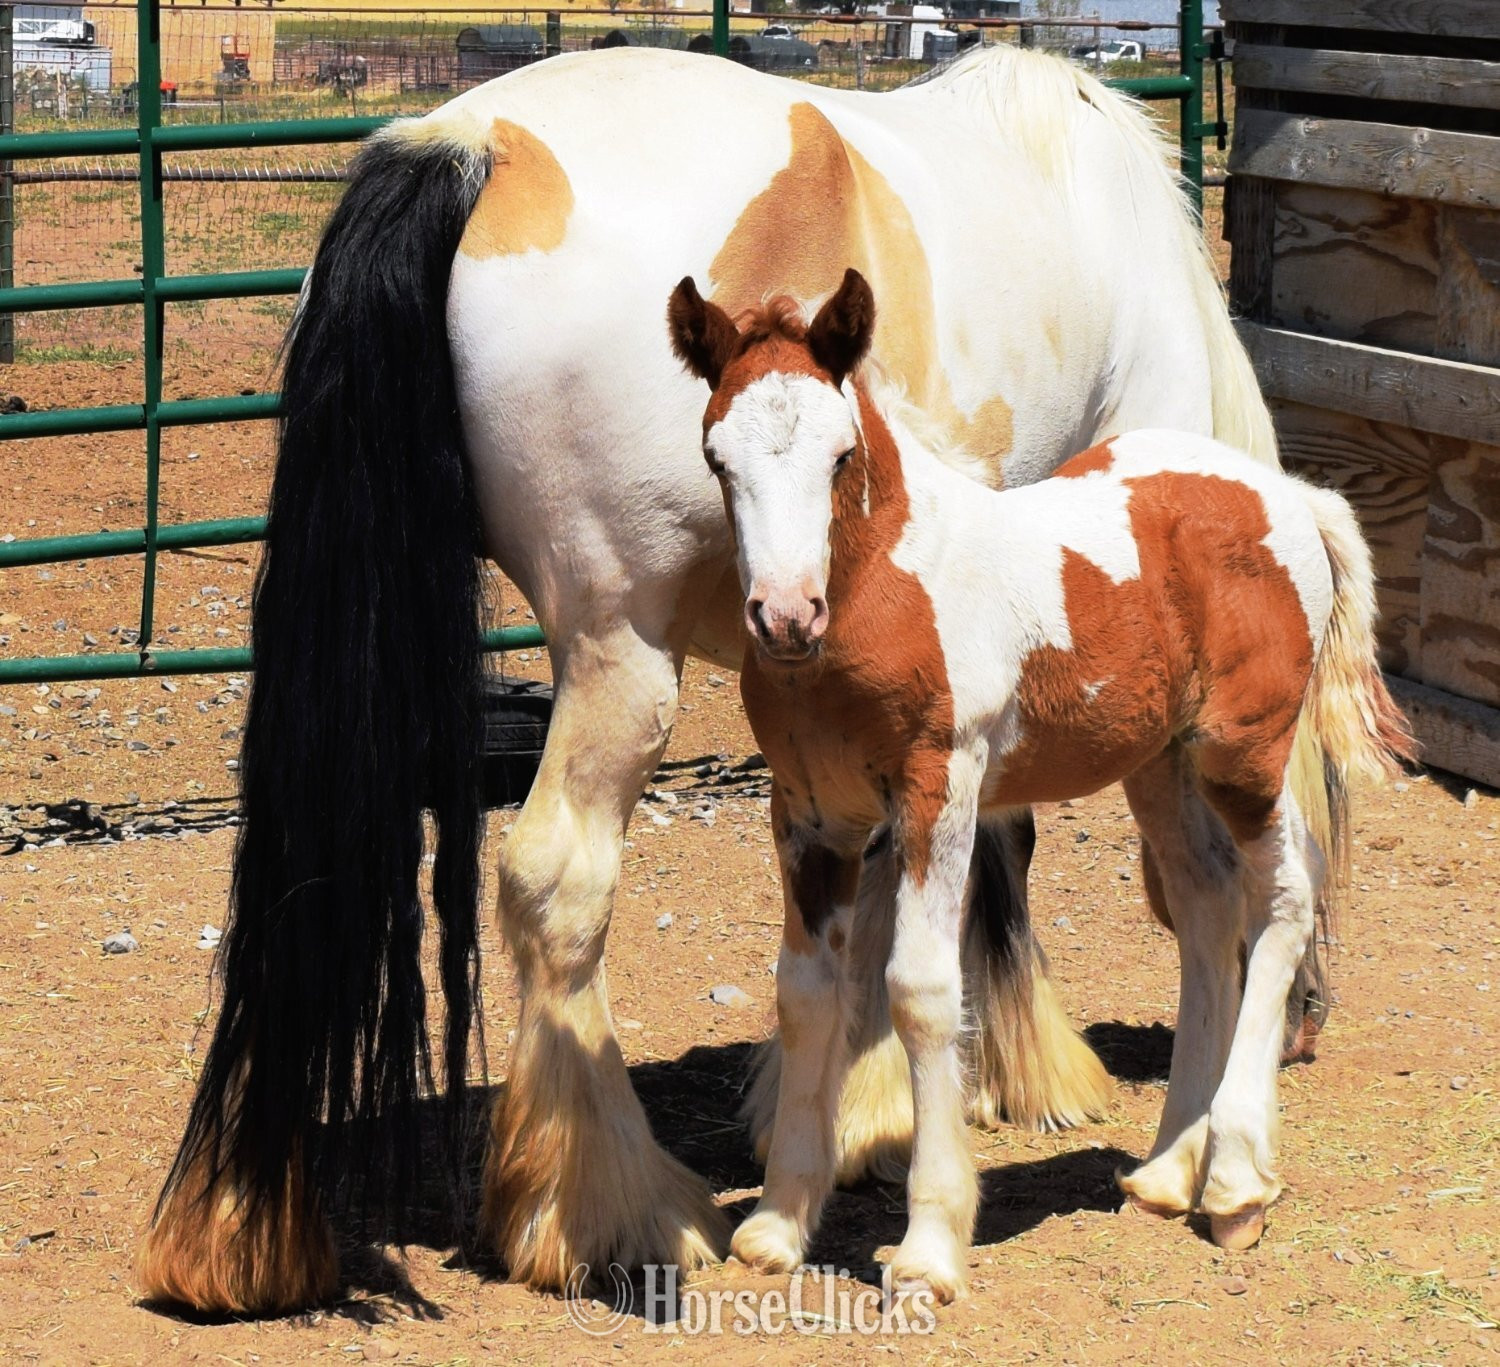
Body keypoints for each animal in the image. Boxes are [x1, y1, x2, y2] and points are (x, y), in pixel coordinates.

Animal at [666, 268, 1413, 1301]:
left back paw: (1234, 1182)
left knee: (1286, 896)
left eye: (839, 454)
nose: (784, 615)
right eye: (717, 458)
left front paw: (930, 1248)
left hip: (1241, 751)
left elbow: (920, 990)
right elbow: (807, 991)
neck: (886, 590)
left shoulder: (941, 787)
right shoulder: (809, 815)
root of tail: (1292, 496)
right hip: (1161, 764)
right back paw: (1166, 1171)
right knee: (1207, 908)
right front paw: (778, 1224)